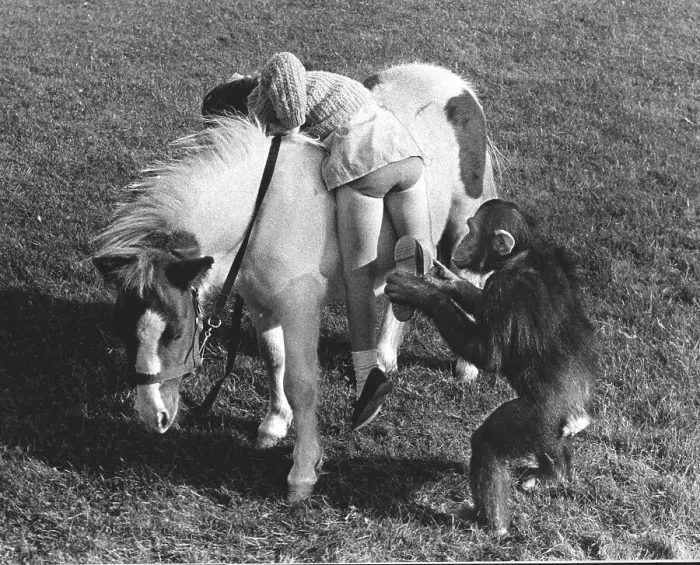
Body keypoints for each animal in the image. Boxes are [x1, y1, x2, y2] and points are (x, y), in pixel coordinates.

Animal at [92, 62, 499, 501]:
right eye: (122, 330)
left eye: (176, 332)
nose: (154, 417)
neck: (263, 211)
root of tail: (451, 82)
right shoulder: (260, 301)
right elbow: (275, 360)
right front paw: (273, 424)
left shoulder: (299, 307)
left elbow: (302, 383)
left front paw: (302, 473)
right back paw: (384, 359)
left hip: (461, 217)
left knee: (469, 274)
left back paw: (462, 366)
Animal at [384, 199, 597, 535]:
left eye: (472, 230)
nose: (461, 242)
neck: (520, 257)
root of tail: (581, 415)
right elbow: (479, 303)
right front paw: (447, 280)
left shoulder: (506, 289)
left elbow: (489, 353)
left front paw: (420, 292)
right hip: (554, 426)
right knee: (552, 444)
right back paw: (554, 476)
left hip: (539, 416)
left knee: (488, 444)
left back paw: (490, 523)